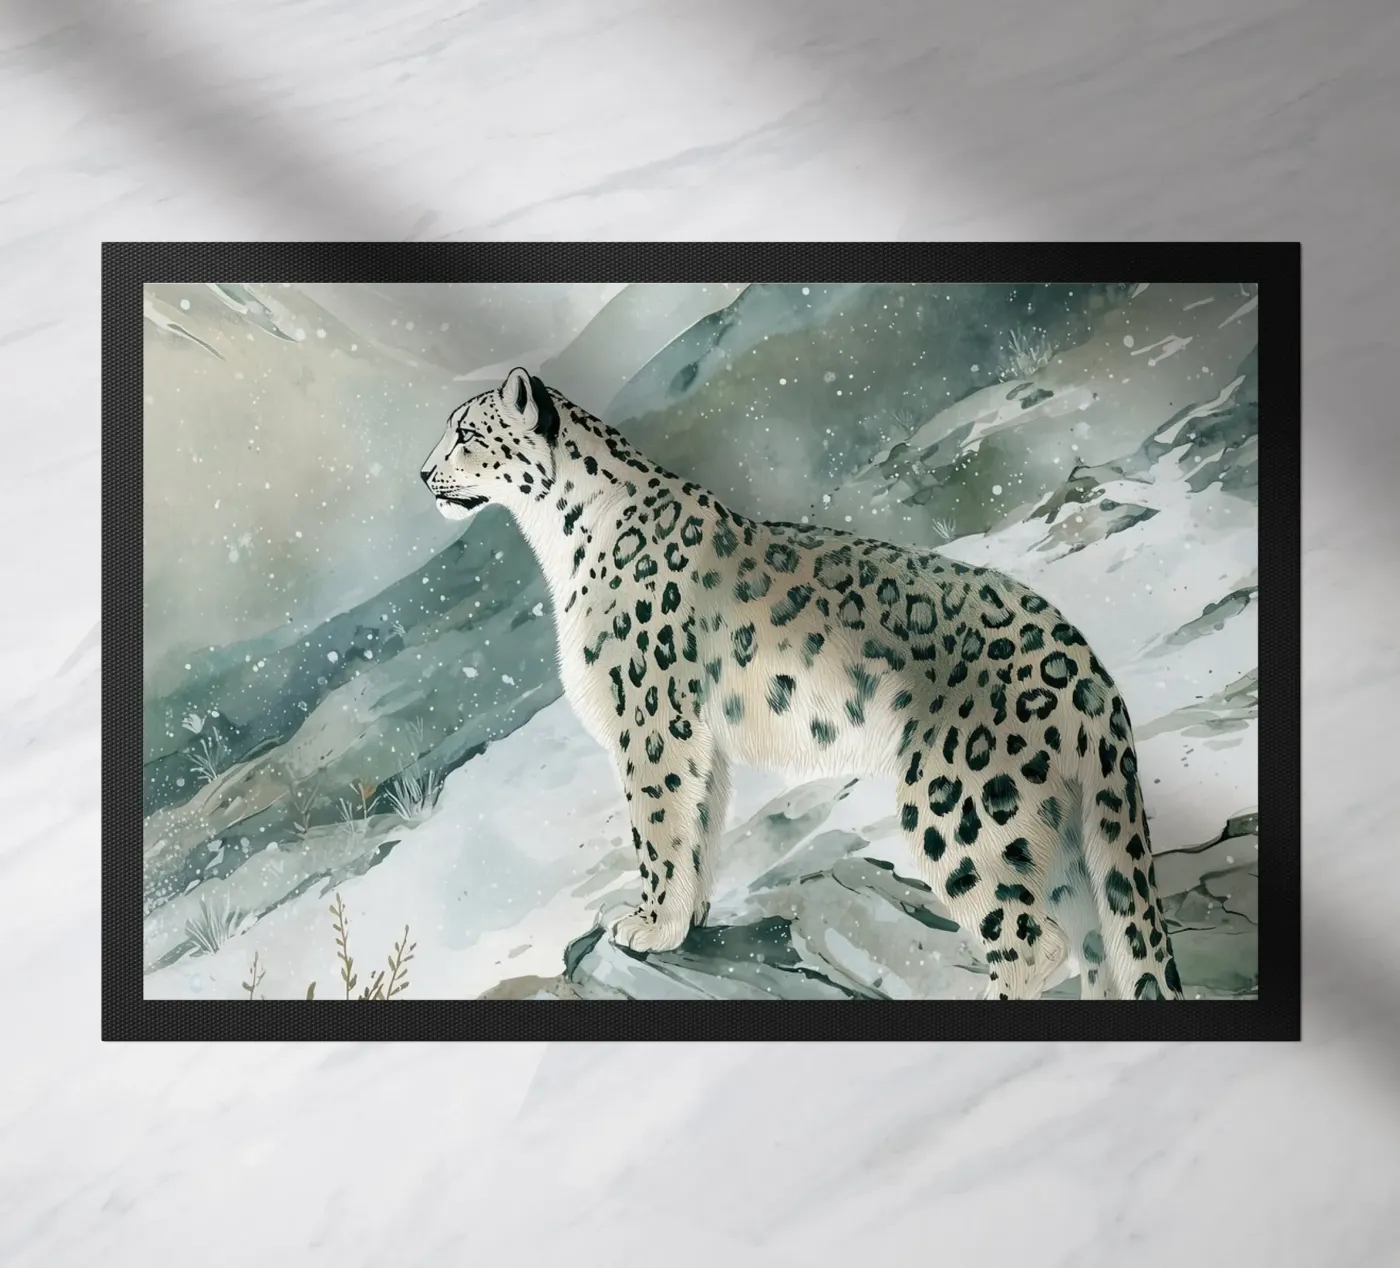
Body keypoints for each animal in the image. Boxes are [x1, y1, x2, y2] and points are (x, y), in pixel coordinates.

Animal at [421, 367, 1185, 1000]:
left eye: (466, 433)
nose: (425, 474)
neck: (561, 545)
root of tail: (1086, 665)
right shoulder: (698, 739)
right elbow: (698, 826)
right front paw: (684, 920)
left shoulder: (650, 719)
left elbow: (656, 826)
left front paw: (648, 923)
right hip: (1059, 833)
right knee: (1096, 943)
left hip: (964, 809)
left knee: (1030, 940)